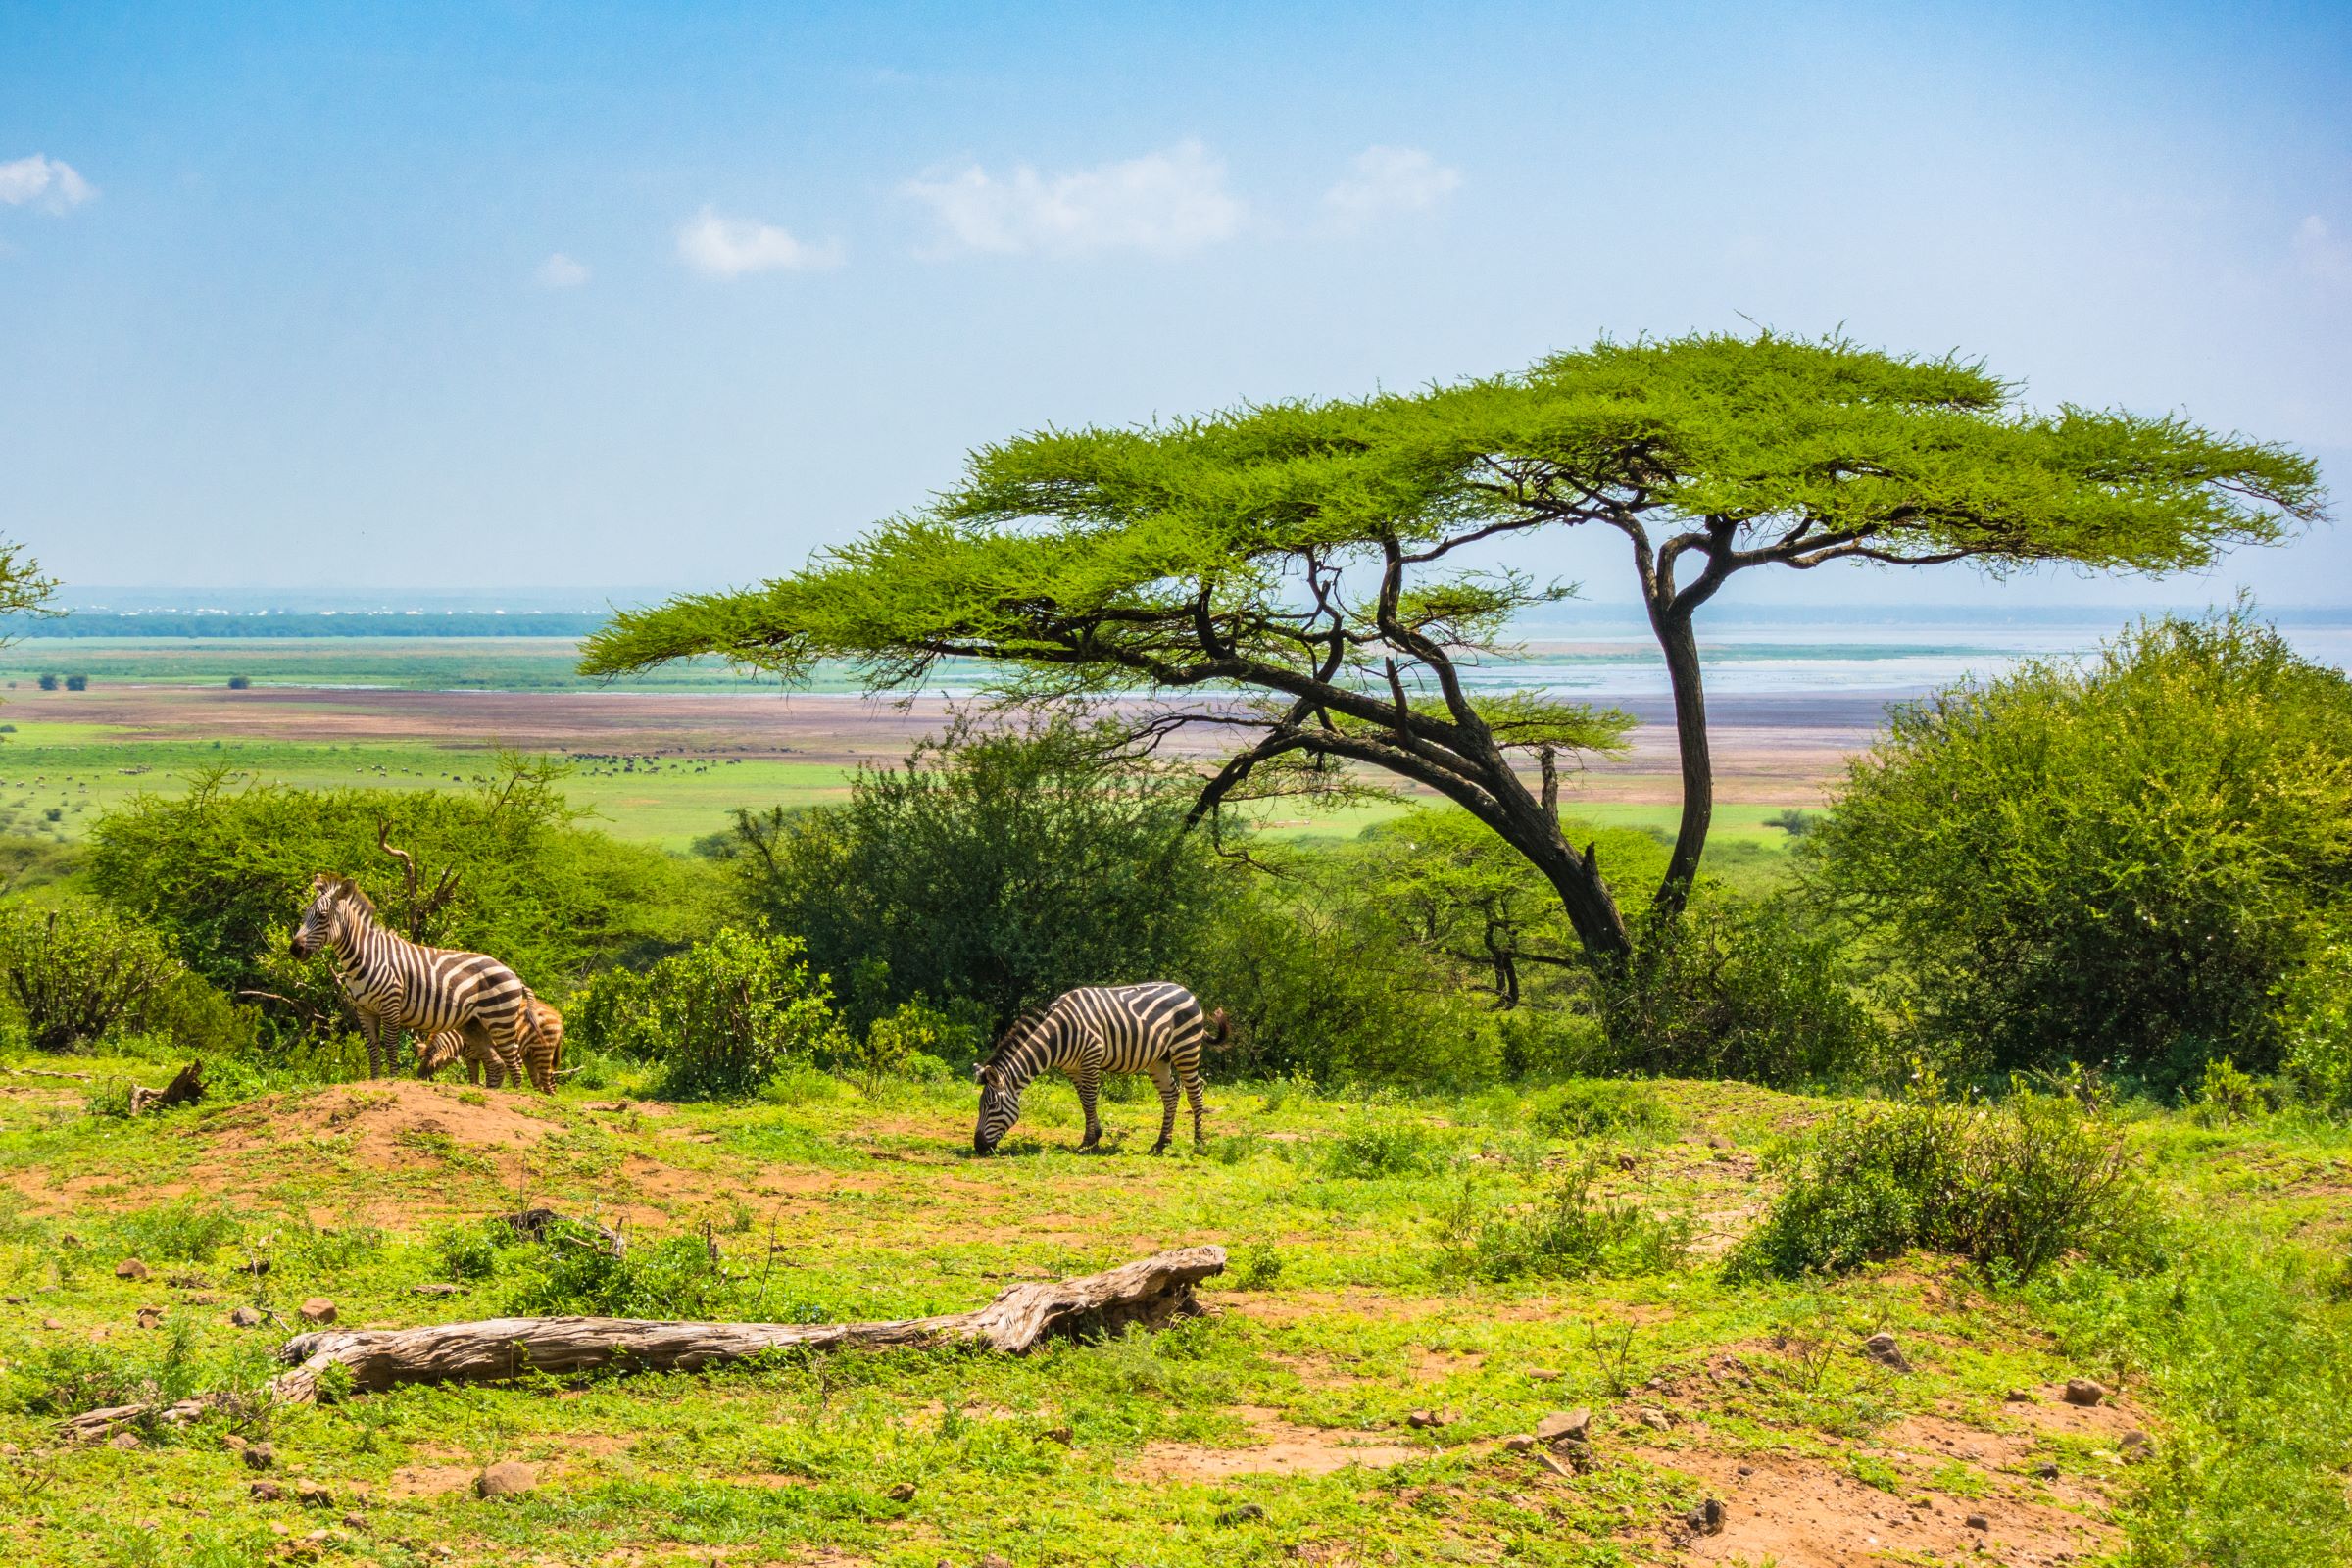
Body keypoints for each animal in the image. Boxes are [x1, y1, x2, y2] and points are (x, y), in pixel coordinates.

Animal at [414, 992, 560, 1091]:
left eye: (434, 1067)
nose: (418, 1079)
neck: (460, 1040)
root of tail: (556, 1014)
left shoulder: (488, 1053)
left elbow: (491, 1073)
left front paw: (492, 1087)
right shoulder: (471, 1058)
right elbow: (473, 1078)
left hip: (542, 1052)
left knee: (550, 1082)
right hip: (530, 1055)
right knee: (539, 1080)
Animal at [973, 987, 1232, 1161]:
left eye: (992, 1107)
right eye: (980, 1107)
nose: (978, 1146)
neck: (1058, 1036)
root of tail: (1187, 991)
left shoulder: (1091, 1058)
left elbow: (1089, 1100)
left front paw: (1089, 1141)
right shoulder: (1073, 1068)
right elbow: (1084, 1102)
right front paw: (1094, 1137)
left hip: (1186, 1048)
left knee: (1195, 1095)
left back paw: (1199, 1144)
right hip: (1160, 1059)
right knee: (1171, 1095)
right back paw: (1161, 1143)